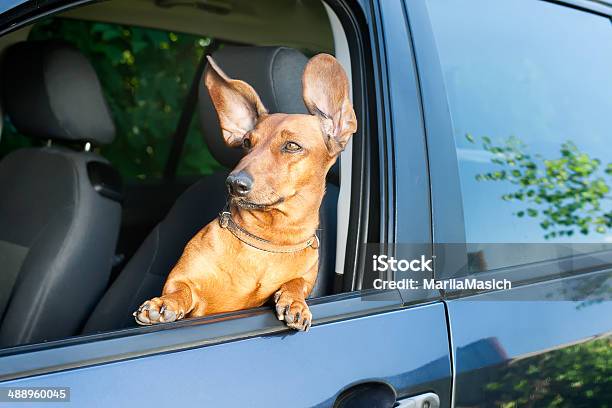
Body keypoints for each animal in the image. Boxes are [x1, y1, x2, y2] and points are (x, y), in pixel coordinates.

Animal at [131, 51, 356, 332]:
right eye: (247, 142)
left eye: (292, 145)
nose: (234, 183)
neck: (267, 239)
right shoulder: (182, 280)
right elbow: (180, 290)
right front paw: (164, 304)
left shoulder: (304, 277)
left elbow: (296, 284)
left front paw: (295, 302)